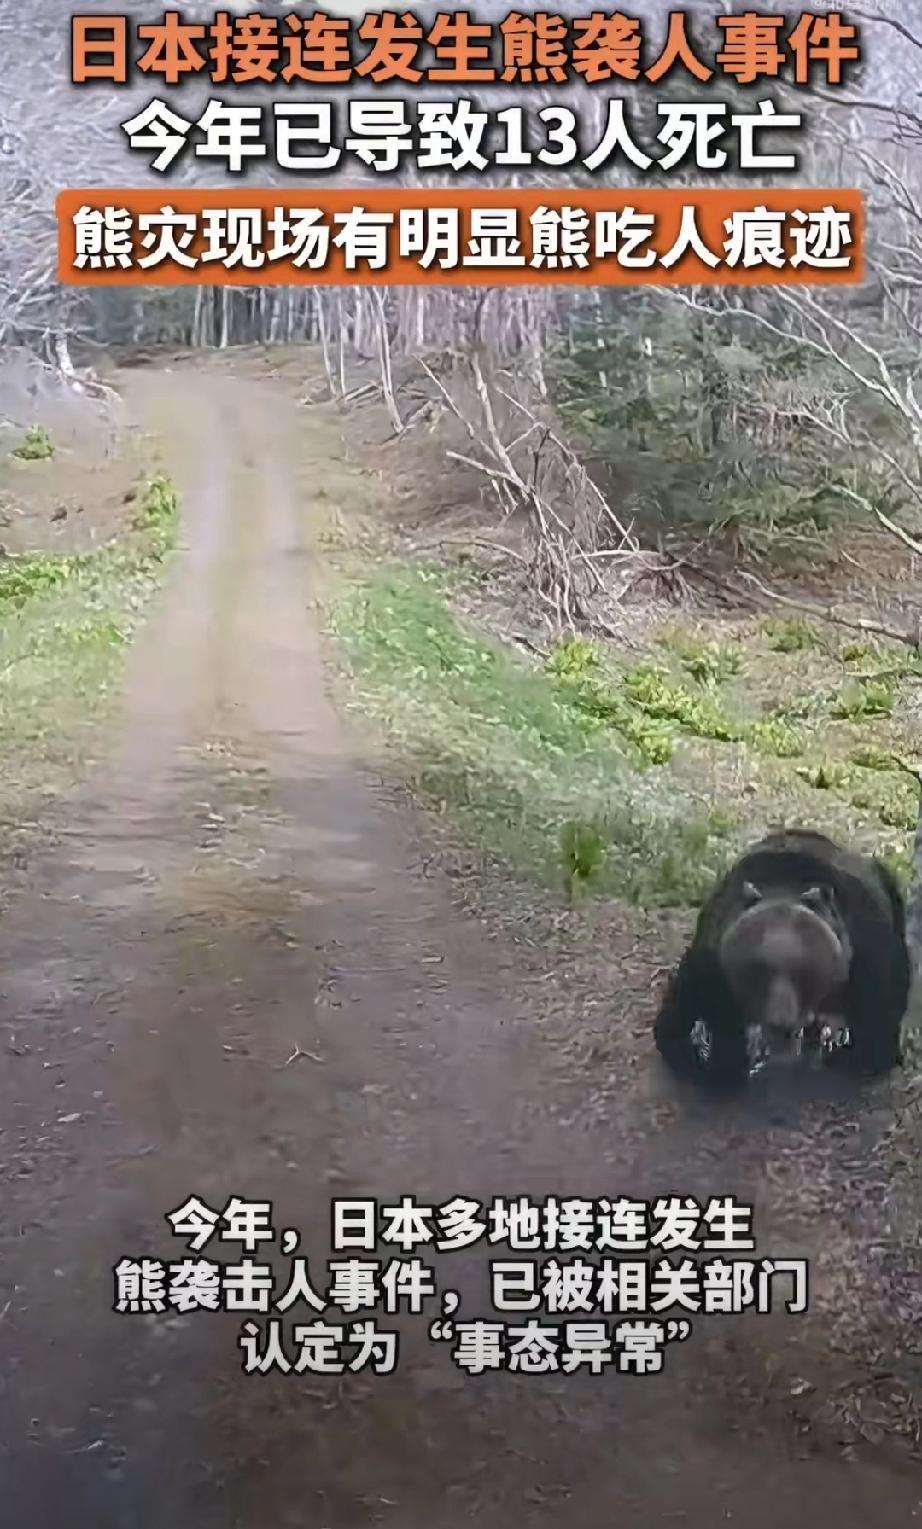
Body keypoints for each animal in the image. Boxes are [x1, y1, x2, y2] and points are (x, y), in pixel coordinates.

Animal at [653, 827, 911, 1087]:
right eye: (758, 967)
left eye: (803, 970)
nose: (780, 1023)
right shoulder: (712, 962)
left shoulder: (868, 947)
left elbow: (878, 1017)